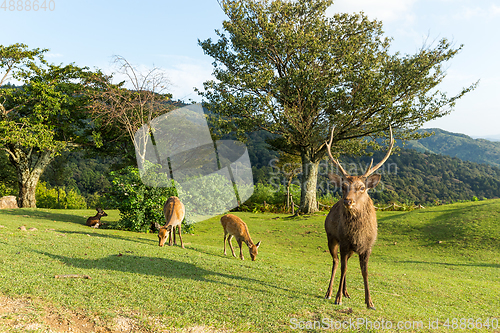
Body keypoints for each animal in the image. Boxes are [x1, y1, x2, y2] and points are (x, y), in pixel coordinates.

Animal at [324, 124, 394, 308]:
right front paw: (338, 299)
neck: (357, 234)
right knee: (336, 262)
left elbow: (365, 272)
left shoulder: (368, 246)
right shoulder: (344, 242)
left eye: (362, 187)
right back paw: (330, 293)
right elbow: (343, 268)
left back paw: (346, 292)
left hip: (350, 249)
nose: (347, 201)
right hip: (331, 237)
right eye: (343, 186)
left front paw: (370, 302)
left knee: (344, 262)